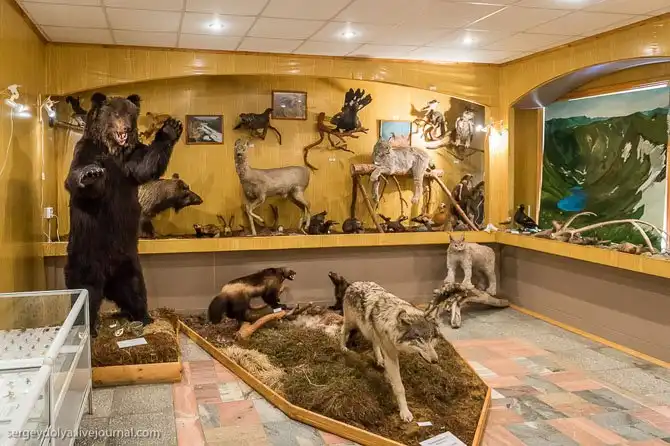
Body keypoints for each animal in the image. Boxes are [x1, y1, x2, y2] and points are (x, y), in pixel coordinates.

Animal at [64, 92, 183, 336]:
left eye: (130, 113)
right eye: (116, 114)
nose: (126, 128)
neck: (113, 150)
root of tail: (108, 277)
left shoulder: (131, 161)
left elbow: (145, 166)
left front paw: (171, 128)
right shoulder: (87, 150)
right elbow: (78, 175)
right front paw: (90, 174)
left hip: (129, 260)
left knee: (134, 288)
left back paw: (143, 316)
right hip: (87, 253)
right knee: (86, 289)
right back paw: (89, 327)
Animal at [340, 281, 439, 422]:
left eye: (430, 338)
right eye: (419, 339)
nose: (435, 361)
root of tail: (354, 284)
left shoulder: (392, 352)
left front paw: (387, 375)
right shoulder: (390, 353)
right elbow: (400, 387)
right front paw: (405, 412)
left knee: (375, 343)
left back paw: (379, 360)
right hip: (351, 323)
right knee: (343, 330)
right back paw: (343, 347)